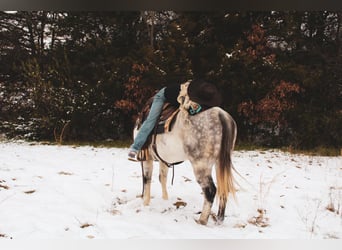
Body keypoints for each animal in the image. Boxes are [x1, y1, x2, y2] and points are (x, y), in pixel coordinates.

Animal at [134, 81, 238, 225]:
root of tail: (221, 115)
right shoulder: (163, 160)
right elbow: (162, 178)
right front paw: (165, 200)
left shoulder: (147, 158)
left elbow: (147, 179)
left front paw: (145, 204)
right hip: (220, 163)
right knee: (223, 187)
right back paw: (219, 219)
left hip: (201, 166)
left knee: (210, 191)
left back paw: (202, 220)